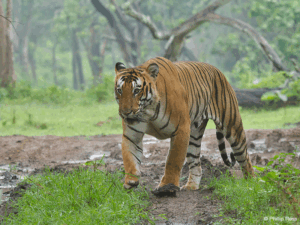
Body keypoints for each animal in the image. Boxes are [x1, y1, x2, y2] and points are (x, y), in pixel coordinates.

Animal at [113, 56, 254, 197]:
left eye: (136, 91)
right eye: (120, 90)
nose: (125, 113)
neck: (148, 112)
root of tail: (218, 70)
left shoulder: (181, 129)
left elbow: (173, 160)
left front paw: (167, 187)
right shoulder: (132, 135)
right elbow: (130, 159)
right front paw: (131, 181)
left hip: (232, 126)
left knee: (245, 157)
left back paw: (250, 184)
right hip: (194, 136)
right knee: (196, 163)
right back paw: (191, 186)